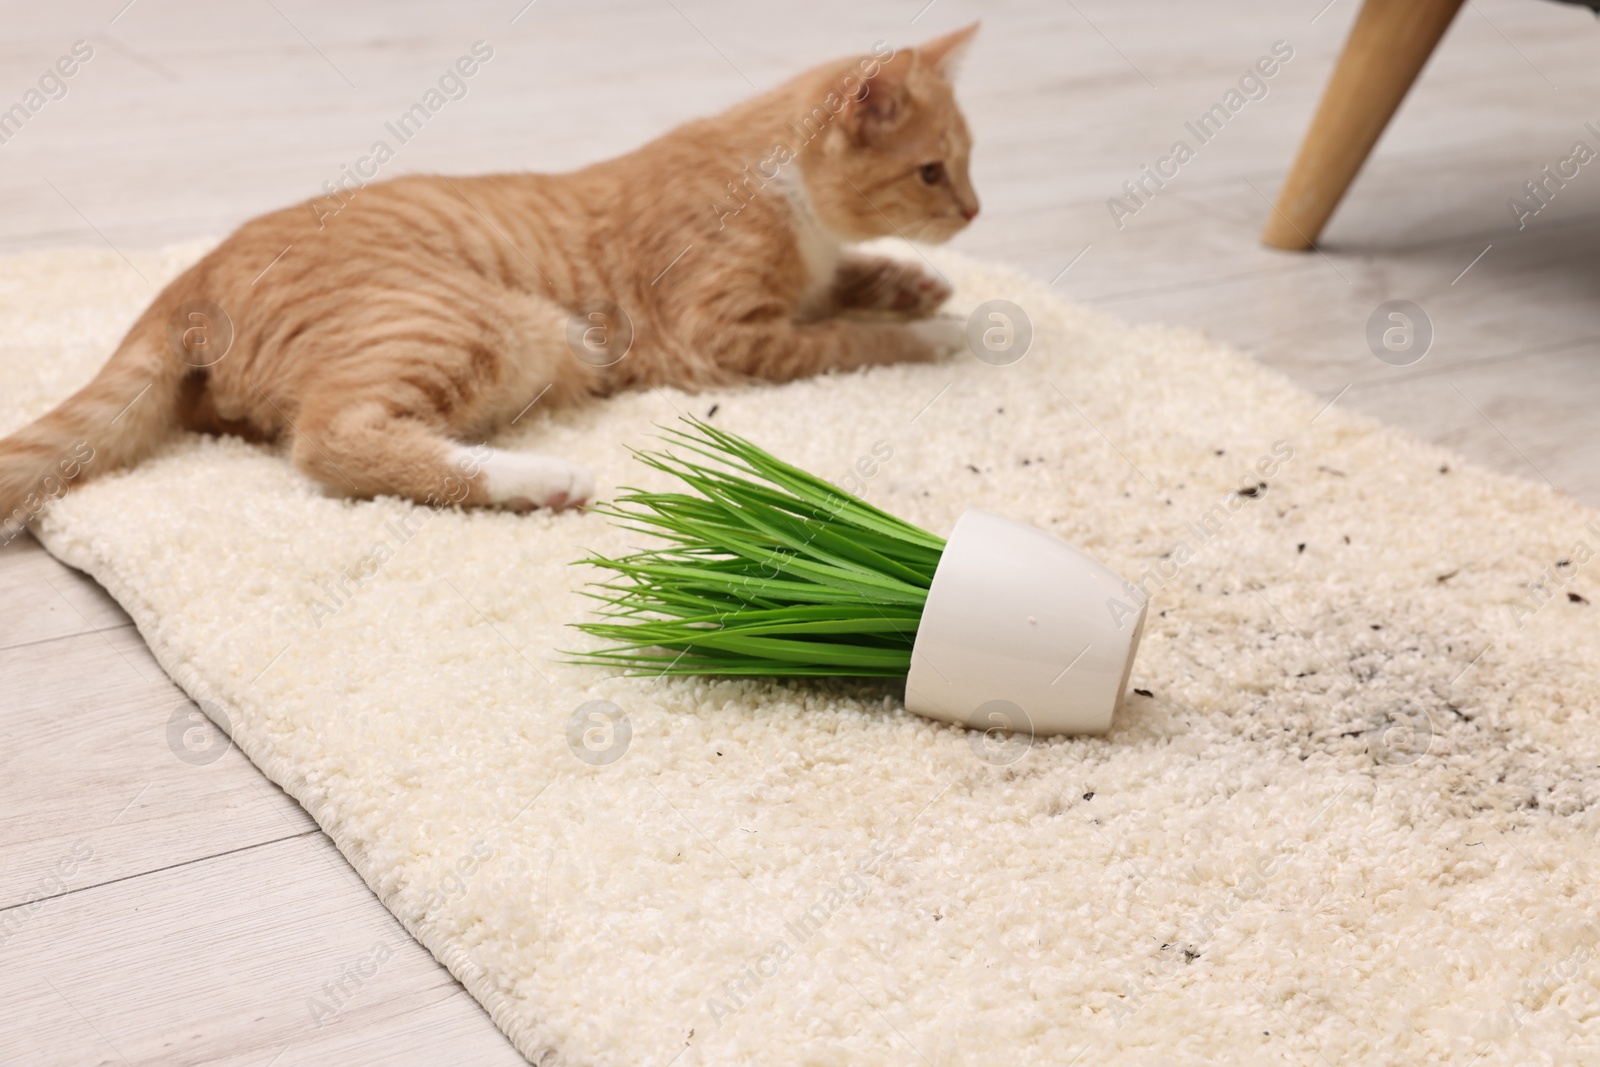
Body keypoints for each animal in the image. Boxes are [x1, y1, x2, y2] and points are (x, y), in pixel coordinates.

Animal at [0, 20, 972, 531]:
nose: (974, 210)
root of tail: (189, 277)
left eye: (965, 163)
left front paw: (913, 283)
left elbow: (850, 284)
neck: (790, 199)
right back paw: (540, 478)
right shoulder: (721, 337)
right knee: (332, 440)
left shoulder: (802, 284)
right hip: (496, 325)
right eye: (932, 171)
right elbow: (845, 339)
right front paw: (940, 329)